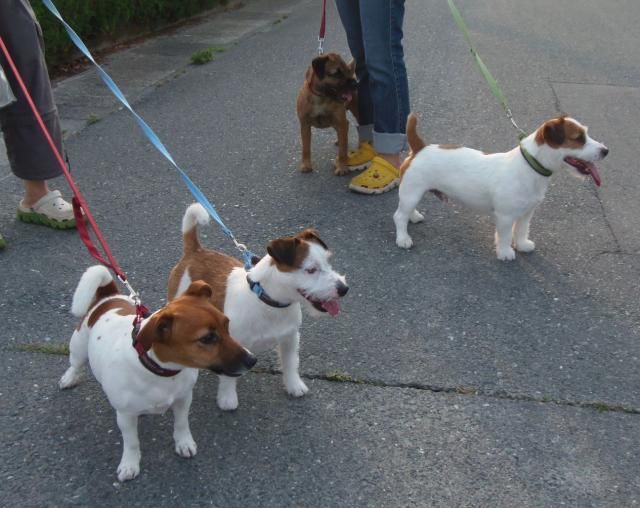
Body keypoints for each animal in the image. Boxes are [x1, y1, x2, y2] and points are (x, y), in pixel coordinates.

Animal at [58, 264, 255, 482]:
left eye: (227, 324)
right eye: (207, 338)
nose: (252, 360)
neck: (164, 372)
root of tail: (108, 297)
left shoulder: (183, 399)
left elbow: (181, 424)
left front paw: (184, 443)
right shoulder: (125, 416)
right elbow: (131, 442)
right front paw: (129, 464)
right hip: (79, 346)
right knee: (75, 363)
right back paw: (69, 378)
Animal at [168, 202, 348, 408]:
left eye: (328, 262)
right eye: (311, 270)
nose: (344, 289)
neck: (269, 303)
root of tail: (195, 251)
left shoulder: (290, 338)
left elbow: (291, 363)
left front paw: (294, 385)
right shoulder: (232, 344)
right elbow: (230, 374)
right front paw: (228, 398)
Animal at [392, 113, 608, 260]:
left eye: (586, 134)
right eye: (578, 138)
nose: (606, 150)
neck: (529, 166)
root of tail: (420, 148)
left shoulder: (526, 213)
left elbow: (521, 230)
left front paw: (521, 245)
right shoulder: (505, 216)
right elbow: (504, 235)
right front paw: (505, 252)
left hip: (413, 193)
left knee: (406, 211)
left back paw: (414, 217)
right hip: (412, 192)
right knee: (399, 216)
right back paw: (403, 238)